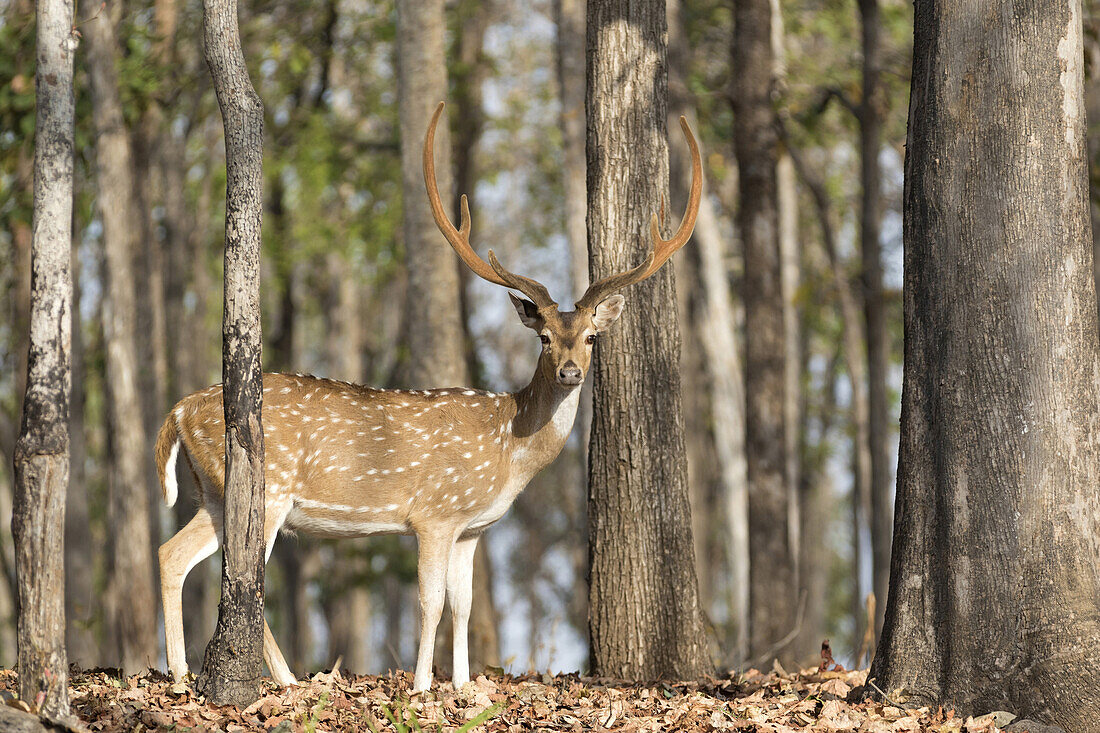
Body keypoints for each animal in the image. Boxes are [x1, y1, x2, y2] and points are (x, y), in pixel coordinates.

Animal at [155, 101, 699, 691]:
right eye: (545, 338)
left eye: (593, 337)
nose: (571, 371)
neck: (510, 446)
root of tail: (180, 409)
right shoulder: (434, 514)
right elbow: (430, 603)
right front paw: (420, 688)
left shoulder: (471, 528)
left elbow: (462, 605)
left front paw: (462, 686)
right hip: (267, 488)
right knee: (243, 577)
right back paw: (284, 681)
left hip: (214, 492)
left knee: (172, 554)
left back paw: (187, 675)